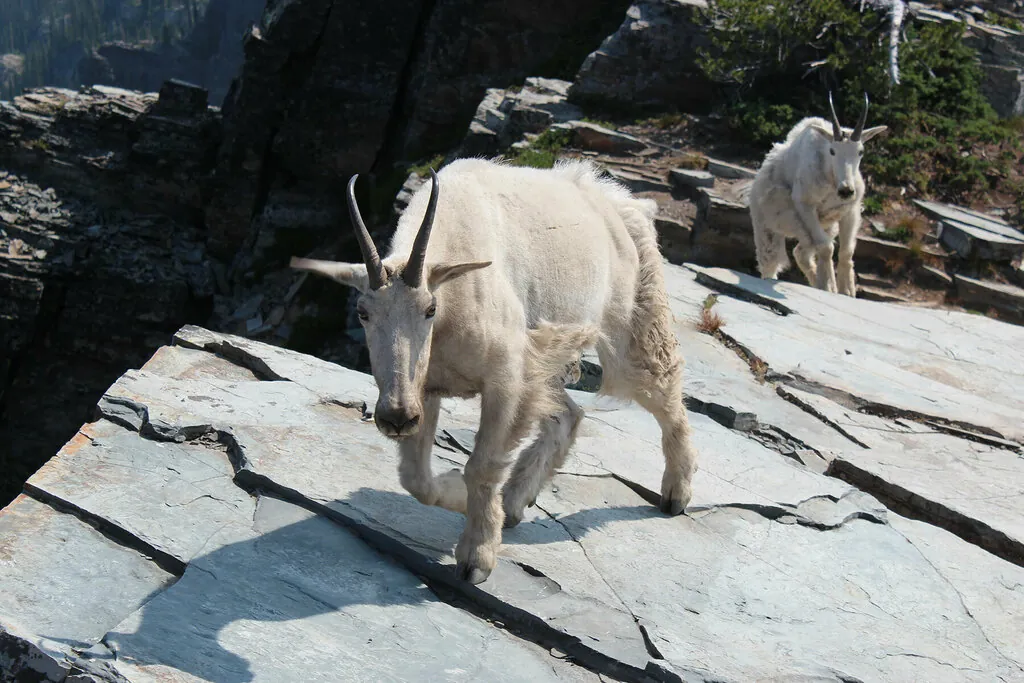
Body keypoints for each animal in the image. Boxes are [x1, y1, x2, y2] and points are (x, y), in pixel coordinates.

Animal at [291, 158, 698, 585]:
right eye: (362, 312)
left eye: (430, 309)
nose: (395, 417)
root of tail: (623, 205)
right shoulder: (426, 387)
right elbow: (415, 479)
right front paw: (459, 496)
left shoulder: (505, 379)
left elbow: (482, 467)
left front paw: (476, 559)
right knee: (569, 413)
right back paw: (515, 503)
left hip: (631, 324)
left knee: (662, 390)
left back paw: (676, 493)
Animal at [749, 93, 887, 296]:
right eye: (832, 150)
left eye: (860, 151)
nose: (846, 190)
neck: (832, 178)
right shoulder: (805, 206)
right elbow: (826, 247)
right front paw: (829, 286)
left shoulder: (850, 210)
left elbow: (846, 251)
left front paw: (846, 291)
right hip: (771, 226)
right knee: (770, 261)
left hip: (822, 225)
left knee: (801, 252)